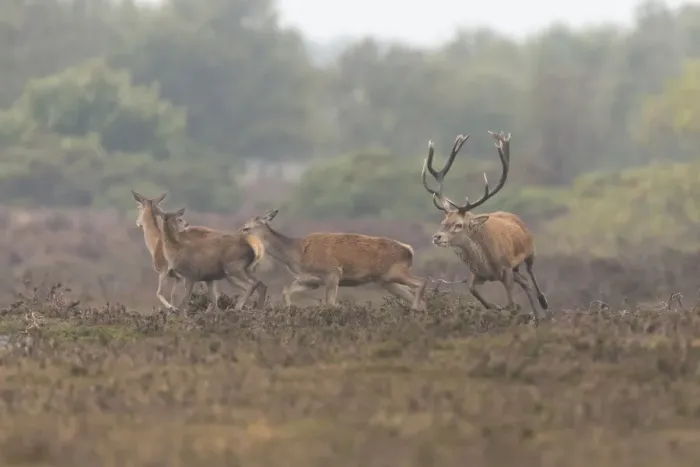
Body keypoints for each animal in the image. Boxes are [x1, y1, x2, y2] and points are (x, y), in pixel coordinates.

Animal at [236, 209, 428, 310]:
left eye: (246, 228)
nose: (237, 235)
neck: (296, 255)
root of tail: (409, 250)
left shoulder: (333, 273)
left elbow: (330, 303)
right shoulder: (310, 281)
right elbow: (286, 291)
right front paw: (289, 311)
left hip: (396, 271)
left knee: (421, 281)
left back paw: (416, 309)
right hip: (386, 281)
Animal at [420, 131, 549, 324]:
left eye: (459, 225)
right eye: (443, 222)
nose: (437, 237)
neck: (487, 264)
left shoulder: (506, 269)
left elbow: (512, 304)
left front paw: (510, 309)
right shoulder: (477, 274)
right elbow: (473, 290)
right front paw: (495, 307)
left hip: (529, 253)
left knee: (531, 276)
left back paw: (543, 304)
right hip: (516, 269)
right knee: (525, 282)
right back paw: (537, 316)